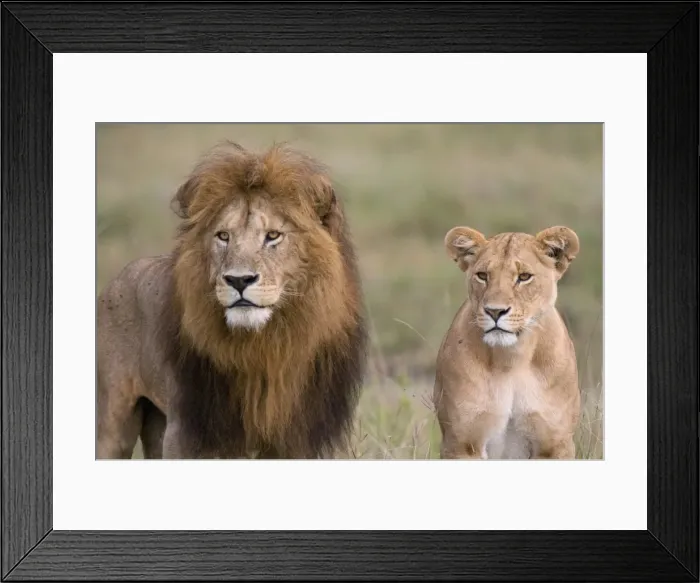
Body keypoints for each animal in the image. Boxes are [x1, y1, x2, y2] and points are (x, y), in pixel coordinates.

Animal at [97, 142, 368, 459]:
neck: (265, 347)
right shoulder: (188, 431)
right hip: (113, 421)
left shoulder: (295, 438)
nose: (239, 280)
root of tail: (120, 276)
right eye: (223, 236)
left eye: (272, 235)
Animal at [433, 225, 581, 459]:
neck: (512, 359)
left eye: (524, 277)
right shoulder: (461, 443)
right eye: (482, 275)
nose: (495, 311)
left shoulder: (556, 444)